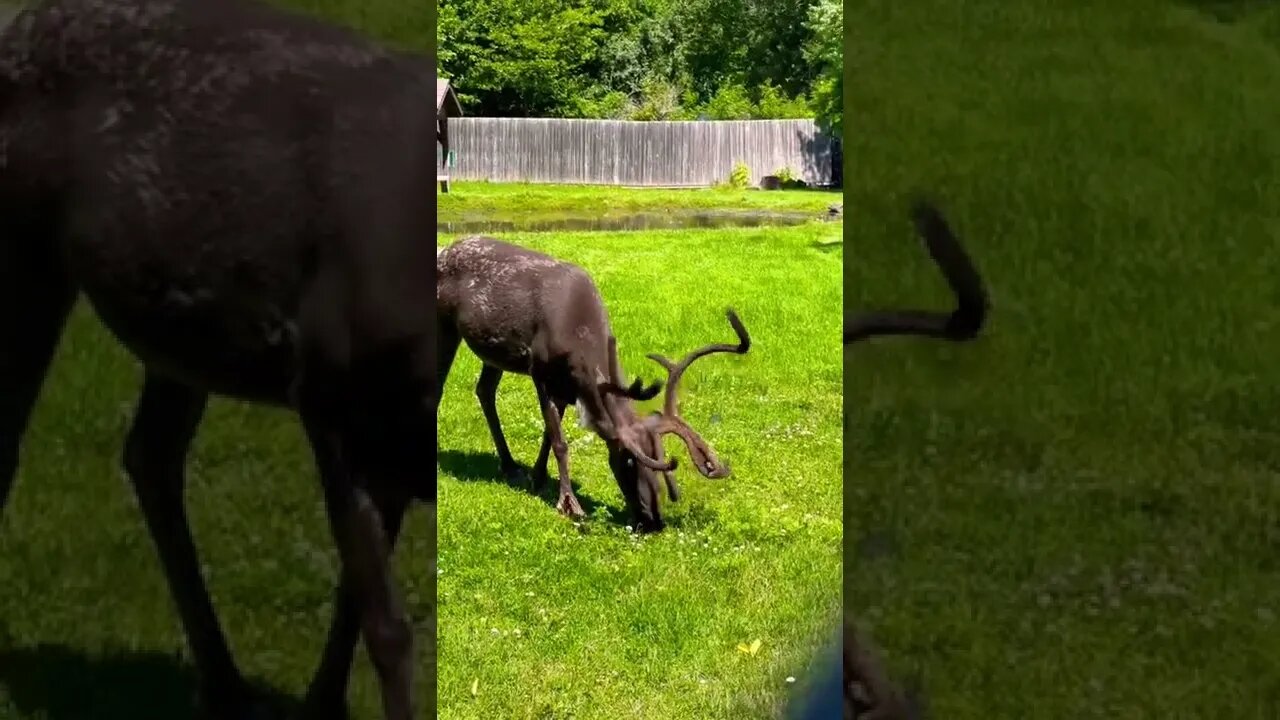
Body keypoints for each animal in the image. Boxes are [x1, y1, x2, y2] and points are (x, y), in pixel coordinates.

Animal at [0, 1, 435, 717]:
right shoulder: (329, 394)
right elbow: (387, 626)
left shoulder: (388, 428)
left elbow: (356, 595)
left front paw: (322, 705)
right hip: (26, 251)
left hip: (178, 332)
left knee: (150, 454)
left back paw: (225, 683)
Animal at [437, 234, 747, 527]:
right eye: (629, 459)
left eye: (657, 457)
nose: (653, 520)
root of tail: (446, 249)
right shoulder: (540, 372)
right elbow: (560, 442)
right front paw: (569, 503)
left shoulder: (565, 385)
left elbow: (548, 435)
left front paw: (538, 477)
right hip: (445, 324)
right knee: (442, 387)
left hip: (493, 353)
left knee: (484, 390)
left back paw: (510, 465)